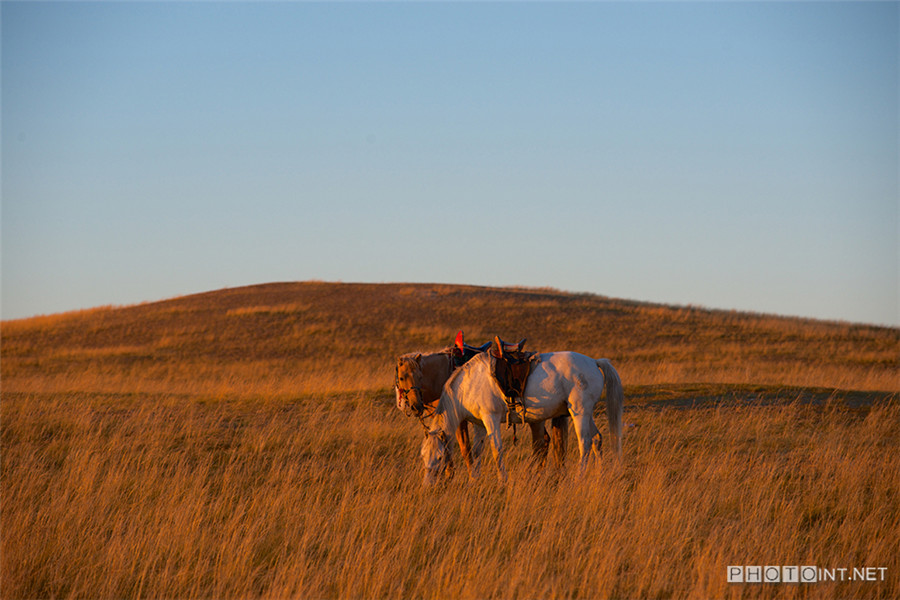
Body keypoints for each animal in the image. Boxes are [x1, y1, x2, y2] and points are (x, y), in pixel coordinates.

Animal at [424, 352, 624, 482]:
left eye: (440, 457)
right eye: (423, 456)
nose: (429, 485)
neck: (469, 385)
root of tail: (594, 362)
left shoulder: (491, 419)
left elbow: (497, 450)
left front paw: (502, 480)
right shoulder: (479, 424)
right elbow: (476, 451)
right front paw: (475, 478)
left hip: (579, 412)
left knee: (585, 443)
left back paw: (579, 478)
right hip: (586, 414)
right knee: (597, 439)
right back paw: (600, 475)